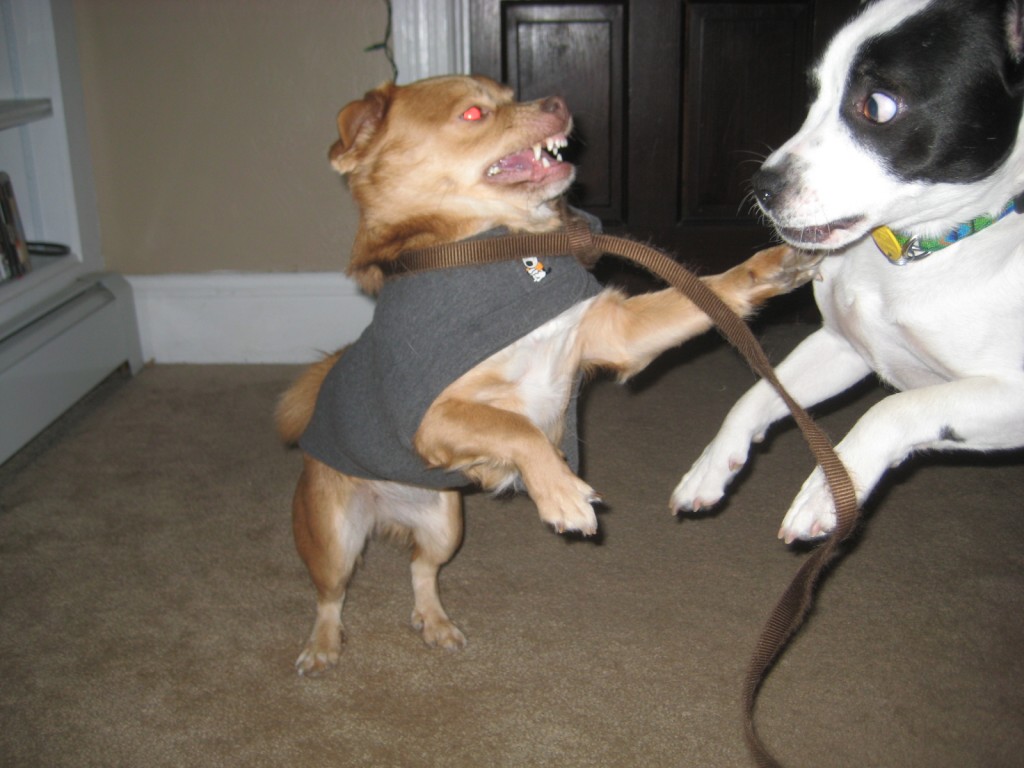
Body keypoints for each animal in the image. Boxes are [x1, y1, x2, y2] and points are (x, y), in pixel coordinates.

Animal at [276, 73, 819, 671]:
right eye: (473, 114)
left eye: (510, 94)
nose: (559, 103)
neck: (502, 253)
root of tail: (384, 513)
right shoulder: (429, 419)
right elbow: (517, 427)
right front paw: (560, 492)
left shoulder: (612, 332)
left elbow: (710, 291)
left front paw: (773, 265)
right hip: (334, 538)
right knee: (330, 594)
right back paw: (321, 645)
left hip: (444, 524)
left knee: (421, 570)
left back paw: (435, 622)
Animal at [671, 0, 1024, 544]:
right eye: (815, 93)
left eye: (877, 106)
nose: (762, 187)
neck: (918, 249)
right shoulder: (843, 344)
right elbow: (760, 392)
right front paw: (712, 465)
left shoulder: (1006, 394)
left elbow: (891, 410)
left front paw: (831, 488)